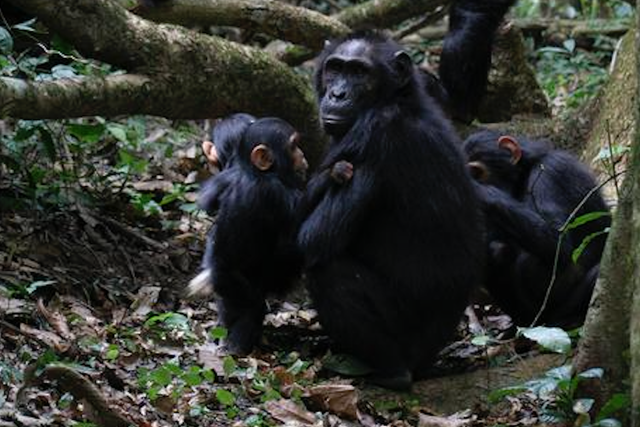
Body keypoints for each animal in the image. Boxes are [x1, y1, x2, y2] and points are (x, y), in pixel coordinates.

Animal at [195, 118, 308, 358]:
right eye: (294, 146)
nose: (303, 154)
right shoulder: (276, 191)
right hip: (235, 283)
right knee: (251, 305)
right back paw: (236, 347)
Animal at [300, 30, 484, 392]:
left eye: (359, 72)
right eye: (335, 68)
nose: (337, 93)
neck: (396, 100)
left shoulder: (372, 135)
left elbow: (312, 239)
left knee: (329, 271)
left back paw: (390, 370)